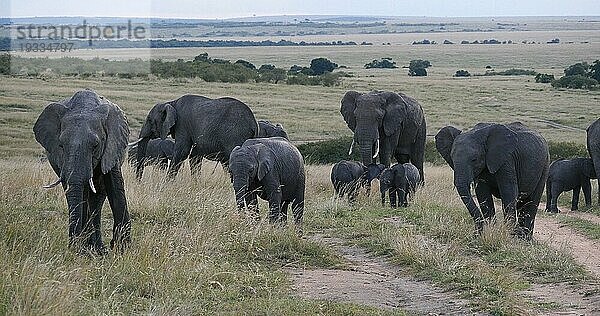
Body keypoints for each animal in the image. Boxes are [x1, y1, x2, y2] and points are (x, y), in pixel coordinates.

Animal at [33, 89, 131, 254]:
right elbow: (78, 193)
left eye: (96, 145)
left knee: (97, 198)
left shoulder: (112, 146)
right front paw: (82, 250)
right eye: (61, 145)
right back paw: (92, 248)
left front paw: (122, 250)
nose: (72, 249)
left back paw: (98, 249)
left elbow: (115, 187)